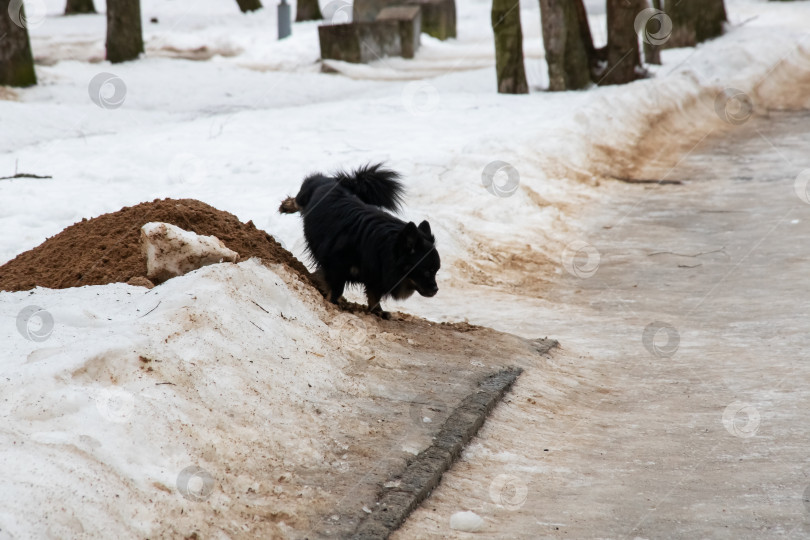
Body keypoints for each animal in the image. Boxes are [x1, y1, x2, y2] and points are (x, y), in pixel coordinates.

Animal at [280, 162, 442, 318]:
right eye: (427, 271)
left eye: (436, 271)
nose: (436, 289)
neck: (382, 246)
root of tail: (335, 181)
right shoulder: (335, 266)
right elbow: (337, 288)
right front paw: (333, 302)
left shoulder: (375, 275)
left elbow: (374, 295)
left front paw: (378, 311)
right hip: (304, 199)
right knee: (297, 201)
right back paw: (286, 206)